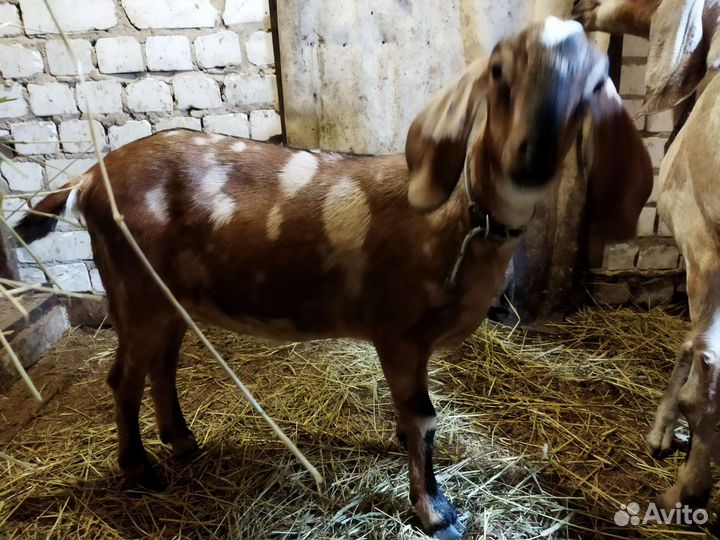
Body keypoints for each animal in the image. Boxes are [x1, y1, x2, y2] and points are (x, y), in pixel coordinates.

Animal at [15, 18, 651, 539]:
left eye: (596, 85)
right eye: (498, 71)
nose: (533, 156)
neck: (457, 219)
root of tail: (86, 181)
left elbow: (410, 419)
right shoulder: (400, 332)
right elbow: (423, 416)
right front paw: (435, 513)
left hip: (169, 295)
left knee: (160, 367)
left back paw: (183, 443)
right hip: (135, 287)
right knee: (123, 377)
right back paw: (141, 471)